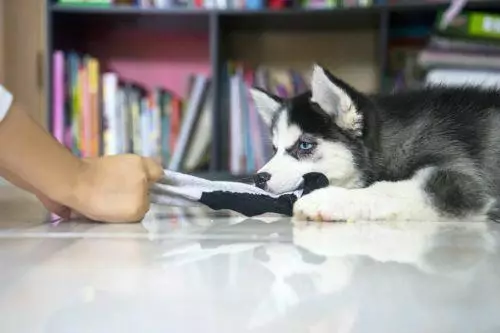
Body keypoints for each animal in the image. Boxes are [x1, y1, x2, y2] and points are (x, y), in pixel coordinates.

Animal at [250, 64, 500, 220]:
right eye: (274, 149)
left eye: (304, 145)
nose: (258, 178)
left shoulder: (461, 180)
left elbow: (385, 190)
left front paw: (329, 200)